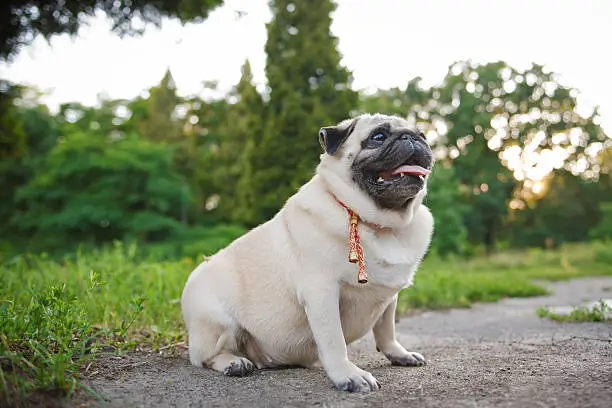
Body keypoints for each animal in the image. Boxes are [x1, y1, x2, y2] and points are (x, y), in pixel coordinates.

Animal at [182, 112, 436, 392]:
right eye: (378, 136)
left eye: (423, 135)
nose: (411, 137)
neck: (382, 226)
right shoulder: (322, 292)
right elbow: (334, 340)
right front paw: (348, 375)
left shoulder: (387, 296)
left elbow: (387, 330)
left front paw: (399, 353)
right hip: (218, 322)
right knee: (204, 358)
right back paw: (233, 363)